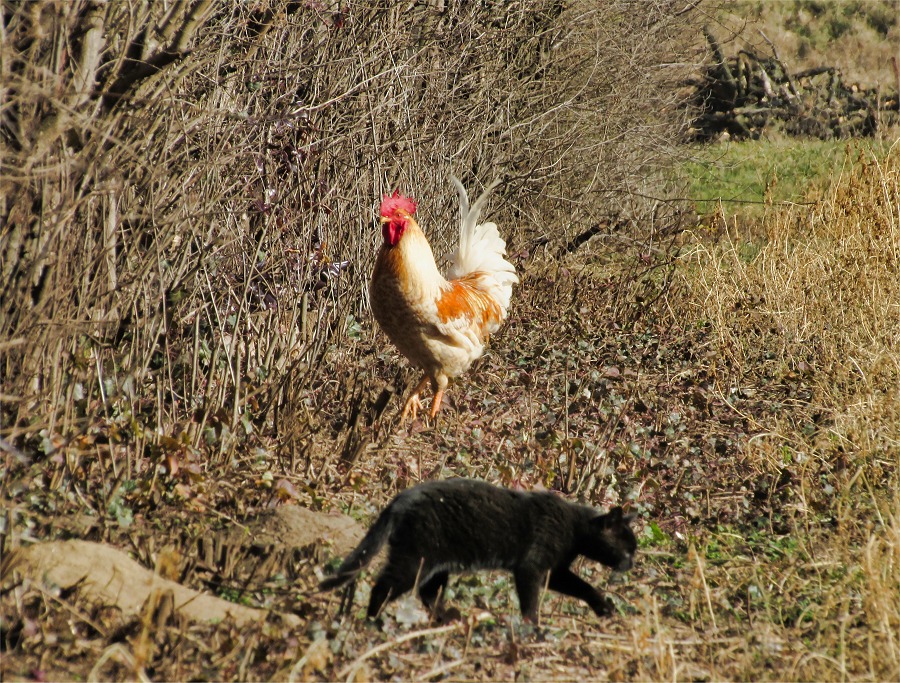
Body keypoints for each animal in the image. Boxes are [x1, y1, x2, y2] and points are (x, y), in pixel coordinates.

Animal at [319, 478, 638, 621]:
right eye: (628, 550)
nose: (632, 564)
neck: (575, 528)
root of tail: (401, 498)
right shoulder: (532, 567)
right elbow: (530, 601)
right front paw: (531, 629)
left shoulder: (555, 571)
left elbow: (584, 587)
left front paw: (604, 608)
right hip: (415, 557)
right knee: (382, 586)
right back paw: (372, 622)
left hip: (437, 563)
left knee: (427, 593)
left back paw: (448, 619)